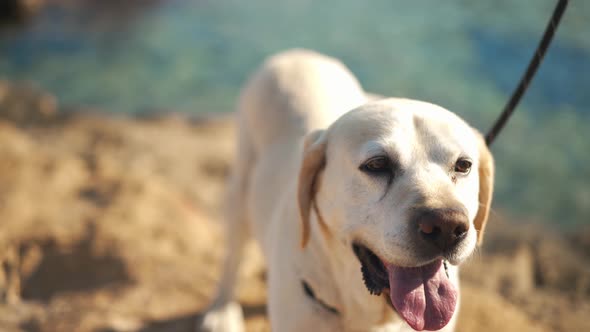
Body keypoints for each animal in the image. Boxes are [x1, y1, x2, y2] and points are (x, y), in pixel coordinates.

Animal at [199, 49, 494, 332]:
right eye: (377, 164)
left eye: (463, 165)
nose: (446, 226)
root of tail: (299, 53)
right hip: (239, 188)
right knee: (233, 257)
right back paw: (222, 312)